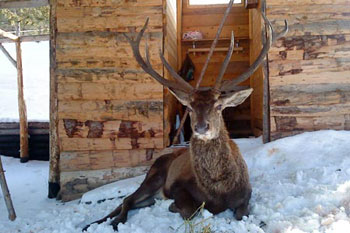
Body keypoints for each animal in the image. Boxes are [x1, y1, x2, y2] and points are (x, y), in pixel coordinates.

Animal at [83, 0, 288, 231]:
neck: (219, 190)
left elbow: (242, 213)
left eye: (219, 106)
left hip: (152, 192)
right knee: (126, 199)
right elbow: (190, 210)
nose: (201, 127)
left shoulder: (246, 193)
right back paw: (109, 222)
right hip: (153, 175)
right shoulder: (178, 187)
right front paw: (174, 208)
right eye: (189, 107)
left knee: (132, 201)